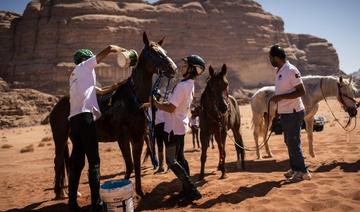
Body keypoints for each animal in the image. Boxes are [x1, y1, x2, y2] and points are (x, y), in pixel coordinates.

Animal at [50, 31, 177, 199]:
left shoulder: (137, 137)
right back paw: (60, 193)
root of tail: (57, 106)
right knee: (58, 161)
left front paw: (140, 192)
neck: (133, 99)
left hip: (75, 139)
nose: (173, 68)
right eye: (154, 52)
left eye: (165, 52)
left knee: (70, 162)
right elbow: (129, 166)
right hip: (60, 137)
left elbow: (136, 165)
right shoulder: (122, 137)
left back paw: (72, 191)